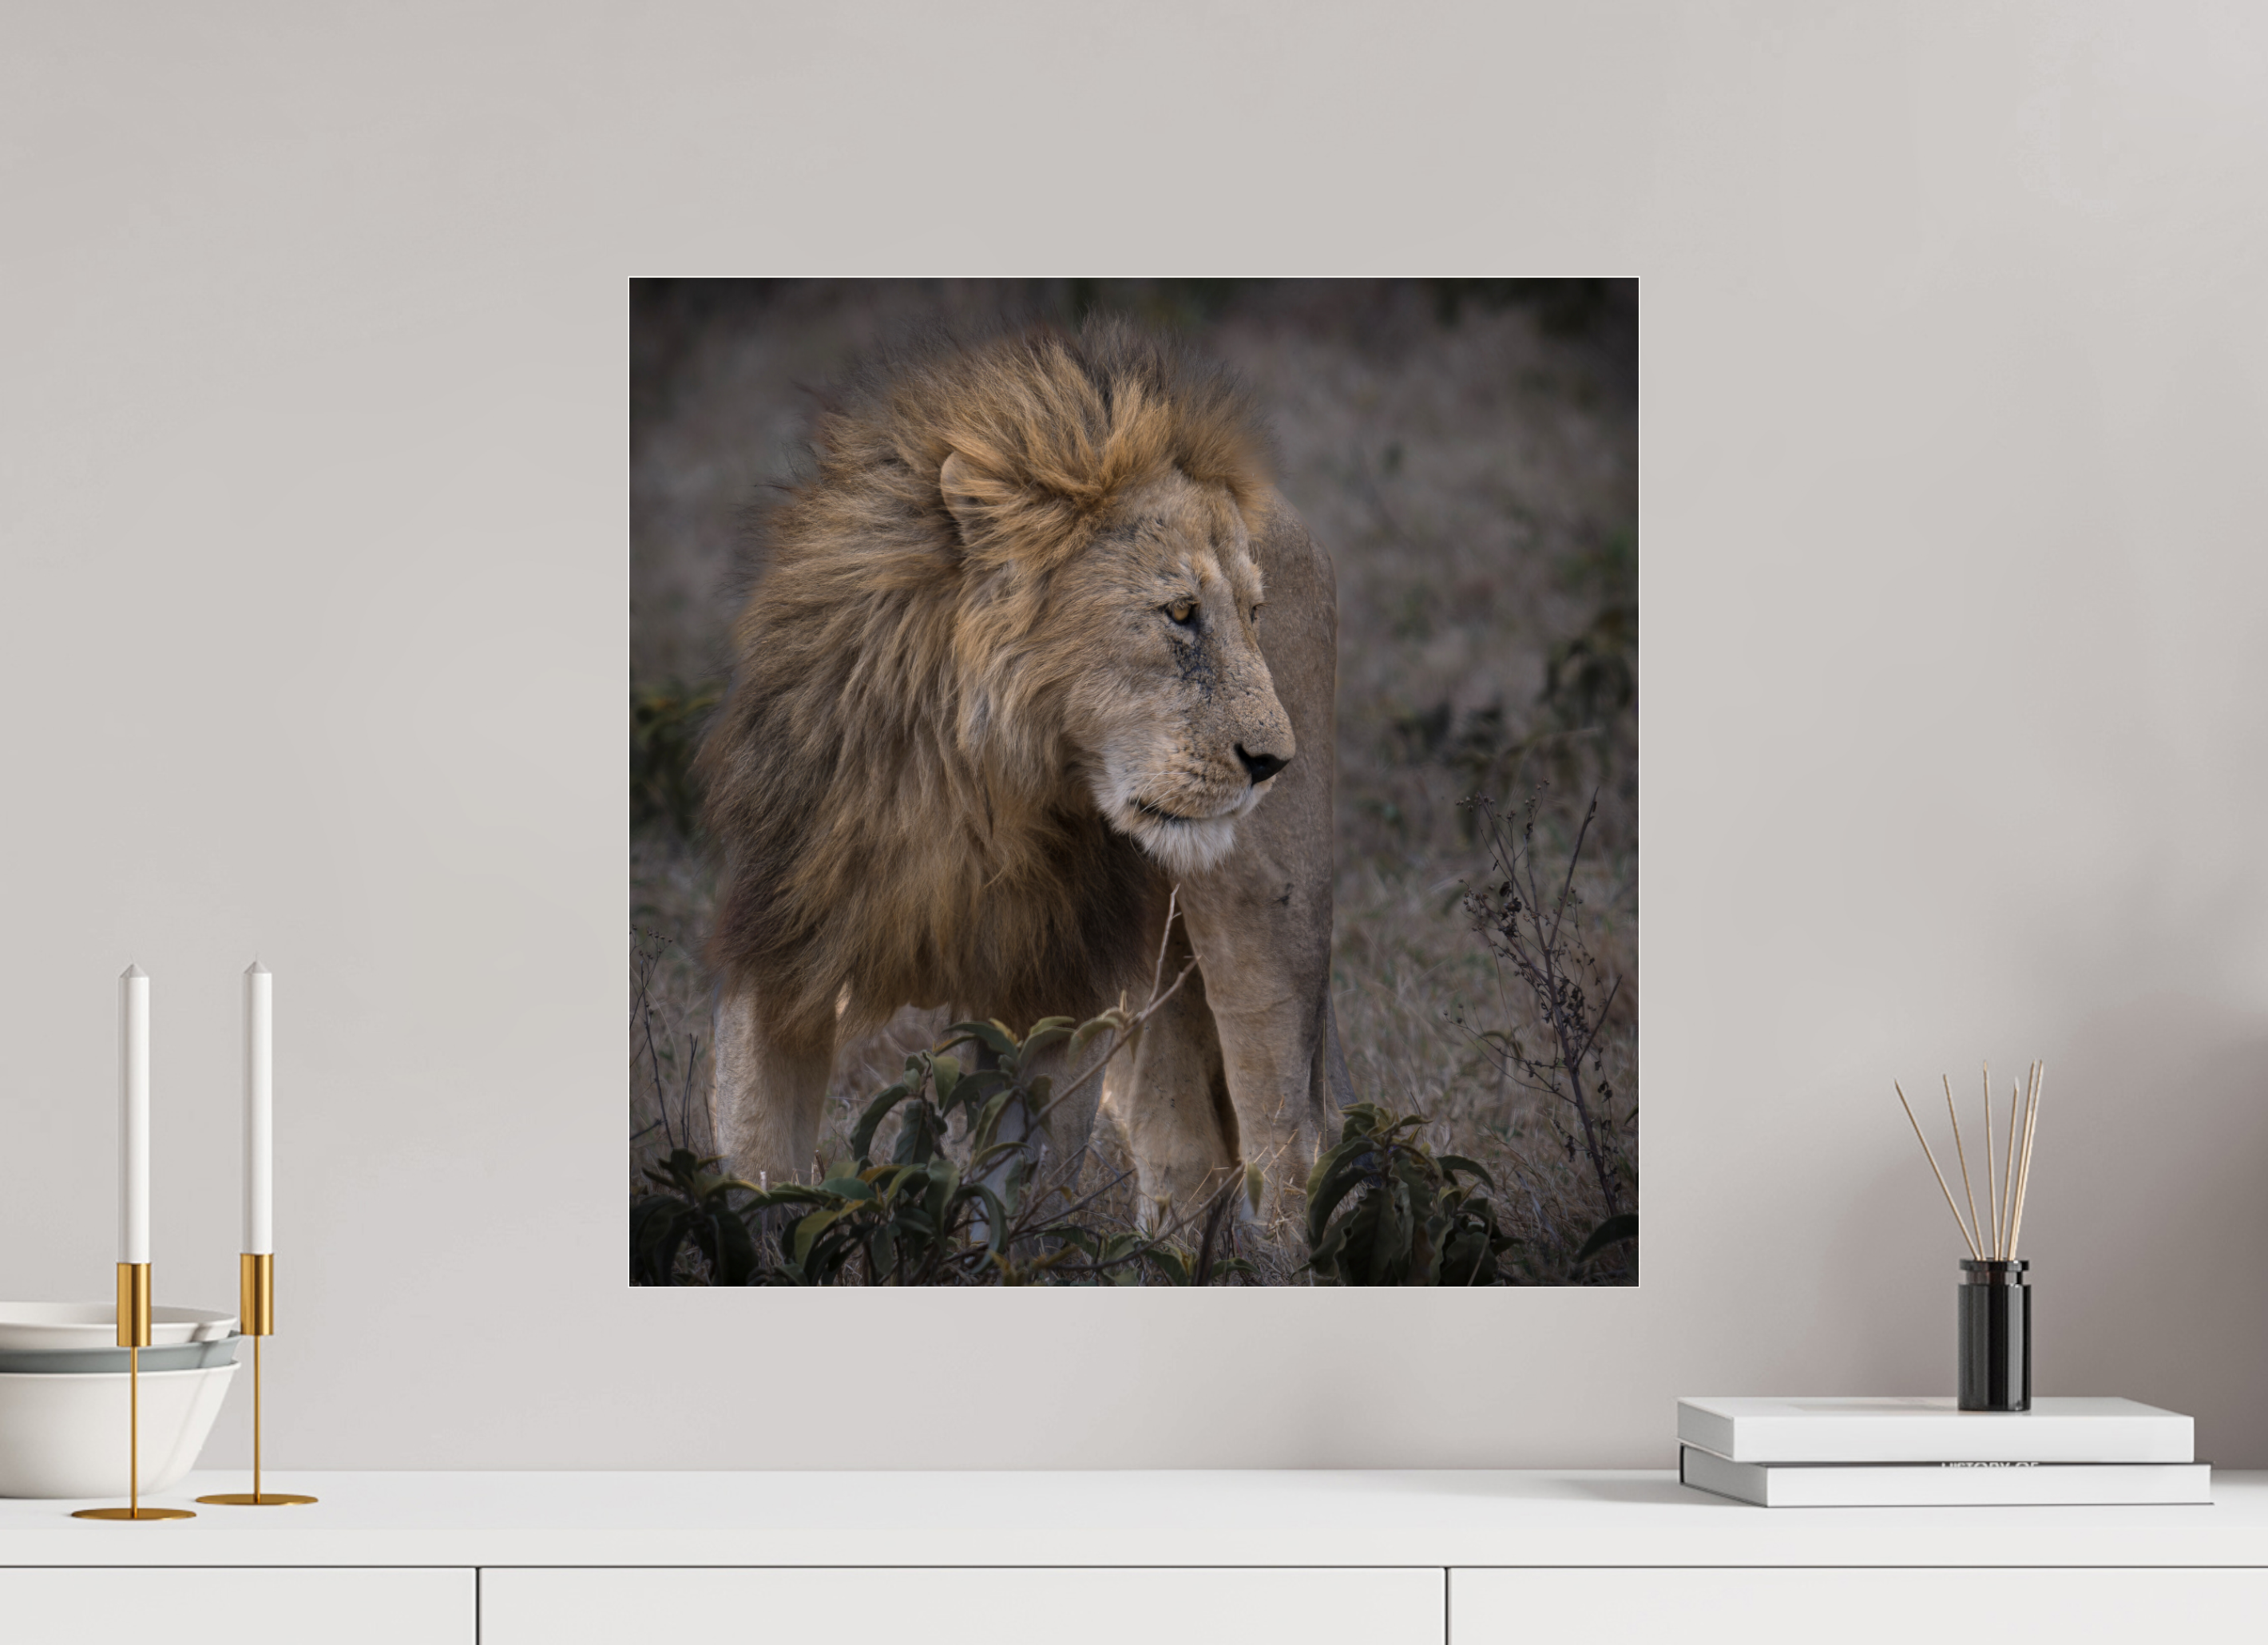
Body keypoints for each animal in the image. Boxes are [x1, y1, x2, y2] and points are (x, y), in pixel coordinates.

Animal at [697, 318, 1348, 1227]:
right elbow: (757, 1166)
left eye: (1253, 616)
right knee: (1185, 1147)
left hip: (1266, 913)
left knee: (1284, 1134)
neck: (966, 787)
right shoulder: (783, 940)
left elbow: (1004, 1192)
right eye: (1181, 613)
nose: (1271, 762)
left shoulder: (1051, 982)